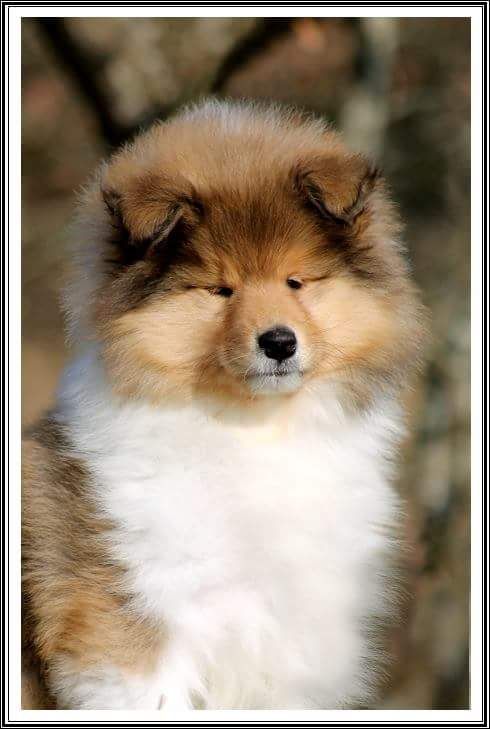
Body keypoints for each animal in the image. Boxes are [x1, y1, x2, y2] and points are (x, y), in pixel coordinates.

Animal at [22, 99, 426, 710]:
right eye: (219, 289)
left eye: (296, 280)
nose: (279, 343)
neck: (254, 431)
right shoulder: (130, 638)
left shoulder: (294, 649)